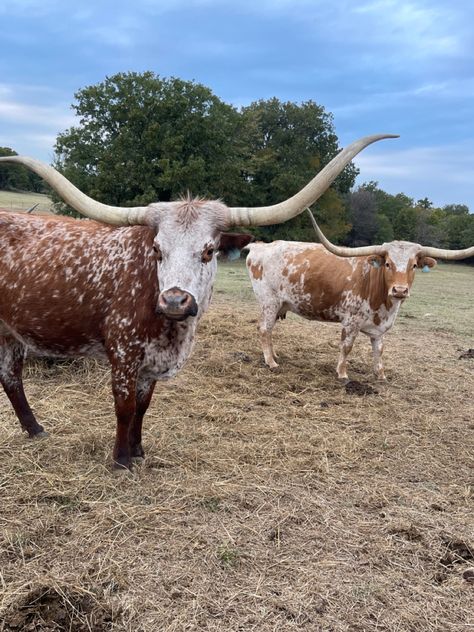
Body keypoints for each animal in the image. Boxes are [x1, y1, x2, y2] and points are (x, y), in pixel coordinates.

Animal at [0, 135, 396, 470]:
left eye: (208, 250)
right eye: (157, 248)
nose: (175, 300)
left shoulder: (152, 362)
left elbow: (143, 408)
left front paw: (139, 452)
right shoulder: (124, 355)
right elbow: (124, 408)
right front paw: (121, 461)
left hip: (10, 334)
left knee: (11, 379)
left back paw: (35, 430)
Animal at [246, 210, 472, 380]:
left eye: (414, 265)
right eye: (388, 263)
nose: (399, 290)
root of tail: (260, 246)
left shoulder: (380, 329)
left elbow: (379, 350)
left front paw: (381, 375)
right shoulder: (350, 322)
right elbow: (347, 347)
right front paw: (342, 374)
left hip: (279, 305)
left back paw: (274, 355)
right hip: (269, 301)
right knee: (264, 329)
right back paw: (271, 362)